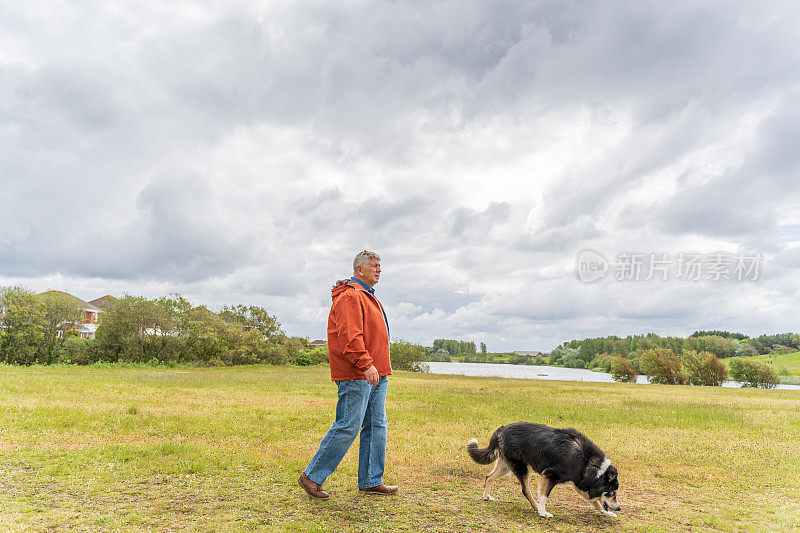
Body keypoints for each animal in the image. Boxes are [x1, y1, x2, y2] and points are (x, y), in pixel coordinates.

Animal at [466, 422, 620, 516]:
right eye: (612, 492)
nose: (619, 507)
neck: (587, 461)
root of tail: (502, 429)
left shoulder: (580, 484)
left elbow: (596, 502)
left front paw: (607, 513)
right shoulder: (549, 475)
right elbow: (544, 496)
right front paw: (543, 512)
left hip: (505, 466)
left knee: (489, 477)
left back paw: (485, 496)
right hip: (521, 468)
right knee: (525, 490)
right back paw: (535, 506)